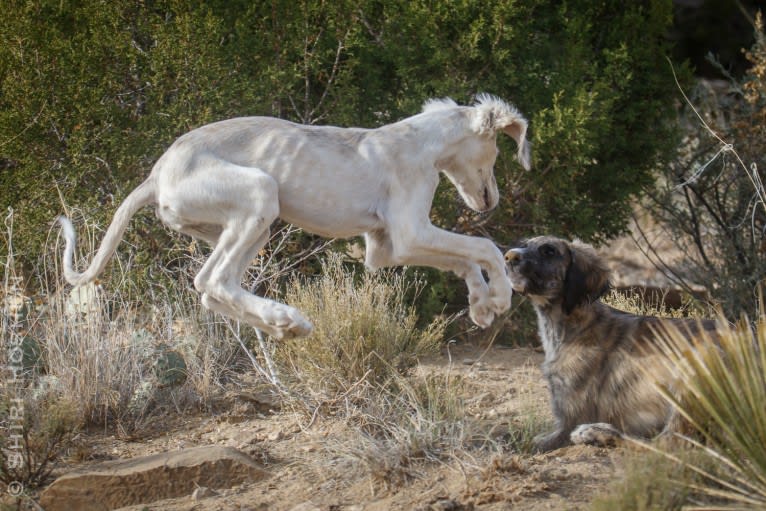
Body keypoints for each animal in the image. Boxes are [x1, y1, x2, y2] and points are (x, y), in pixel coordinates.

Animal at [60, 95, 532, 340]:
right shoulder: (410, 231)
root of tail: (155, 175)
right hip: (260, 193)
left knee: (214, 290)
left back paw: (285, 325)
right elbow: (484, 247)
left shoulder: (387, 248)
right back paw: (288, 318)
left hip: (251, 226)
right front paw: (501, 296)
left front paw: (480, 305)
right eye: (495, 148)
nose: (490, 203)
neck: (419, 141)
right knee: (211, 281)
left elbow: (464, 259)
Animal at [508, 236, 724, 452]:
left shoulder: (567, 424)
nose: (509, 257)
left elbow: (526, 443)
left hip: (694, 365)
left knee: (668, 444)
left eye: (549, 251)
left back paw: (599, 432)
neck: (575, 324)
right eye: (524, 244)